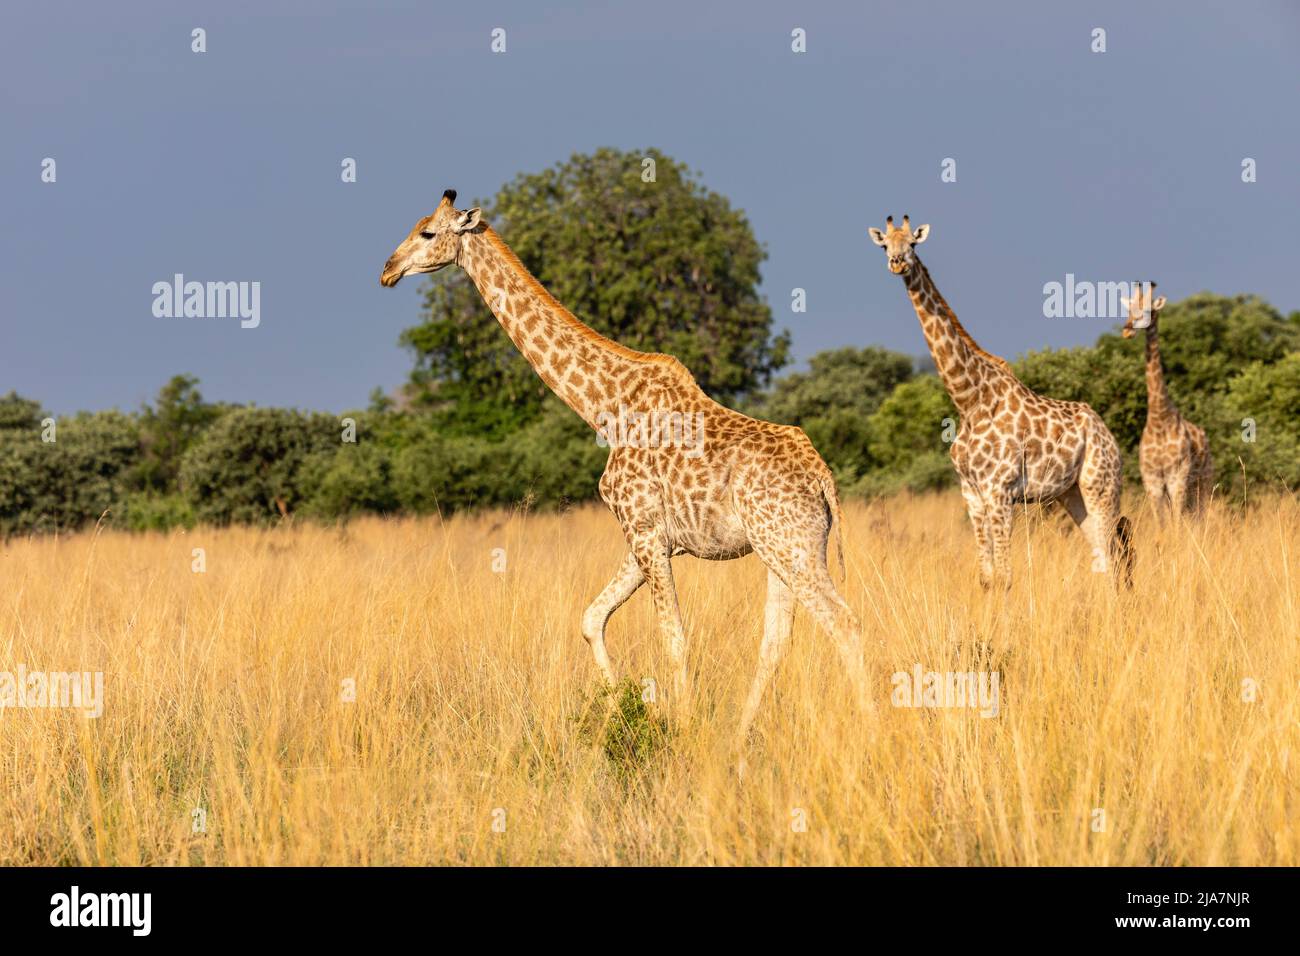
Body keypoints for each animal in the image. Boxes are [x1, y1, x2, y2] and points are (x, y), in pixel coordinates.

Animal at [382, 192, 873, 749]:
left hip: (791, 545)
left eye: (427, 233)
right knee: (777, 640)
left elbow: (673, 638)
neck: (603, 406)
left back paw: (871, 731)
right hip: (780, 549)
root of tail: (823, 478)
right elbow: (592, 618)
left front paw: (679, 730)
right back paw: (739, 740)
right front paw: (623, 711)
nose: (388, 270)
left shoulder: (644, 531)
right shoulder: (649, 539)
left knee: (843, 623)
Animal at [868, 217, 1133, 590]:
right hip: (1072, 492)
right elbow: (986, 576)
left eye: (913, 243)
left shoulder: (1000, 492)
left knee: (1113, 553)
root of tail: (1109, 435)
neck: (969, 400)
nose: (897, 263)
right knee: (1102, 554)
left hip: (1102, 485)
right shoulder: (971, 493)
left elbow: (1006, 576)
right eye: (884, 245)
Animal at [1118, 280, 1216, 520]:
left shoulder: (1176, 477)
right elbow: (1161, 523)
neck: (1159, 419)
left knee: (1200, 516)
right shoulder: (1152, 481)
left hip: (1203, 481)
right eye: (1128, 309)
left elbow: (1176, 523)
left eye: (1148, 310)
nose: (1127, 330)